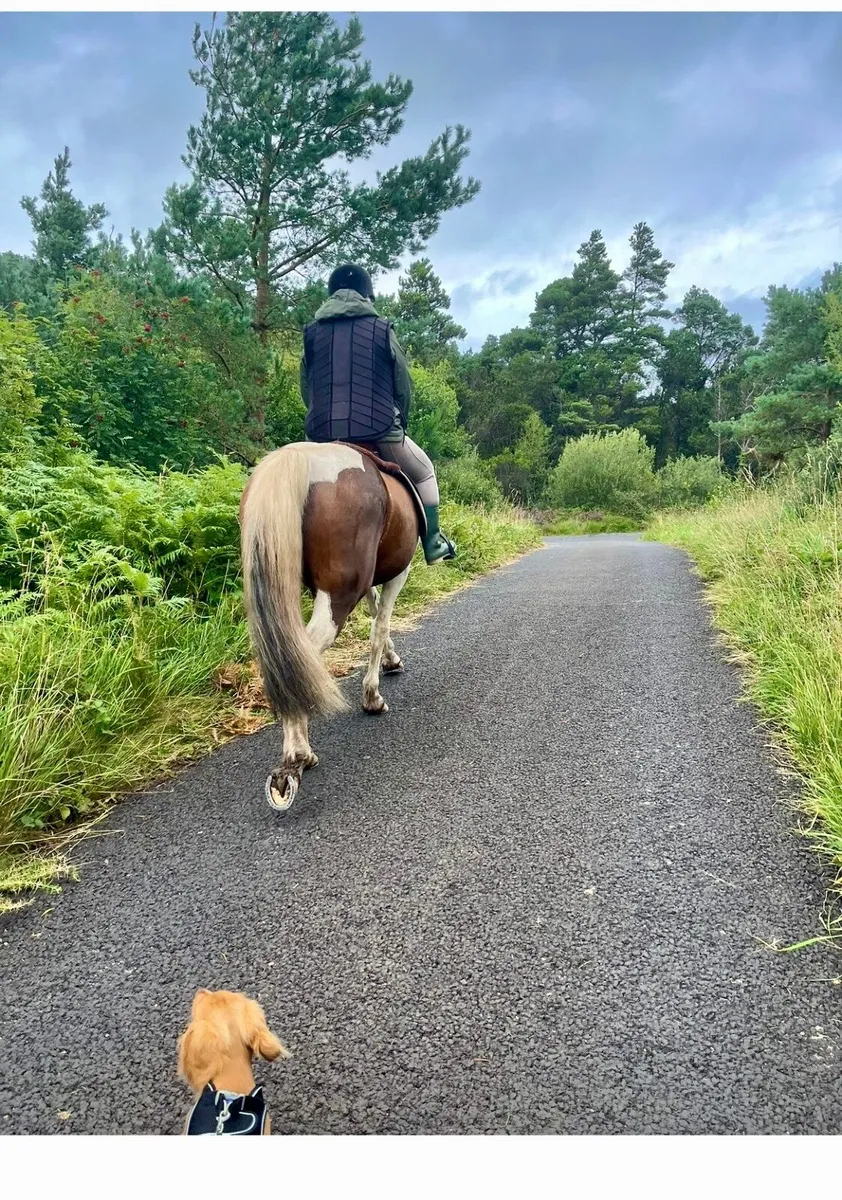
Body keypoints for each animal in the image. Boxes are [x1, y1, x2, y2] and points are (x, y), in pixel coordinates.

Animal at [239, 441, 423, 812]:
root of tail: (297, 458)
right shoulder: (399, 572)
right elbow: (380, 624)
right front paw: (372, 697)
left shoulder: (368, 580)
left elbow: (374, 610)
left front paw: (391, 660)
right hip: (339, 592)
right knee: (302, 654)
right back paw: (298, 756)